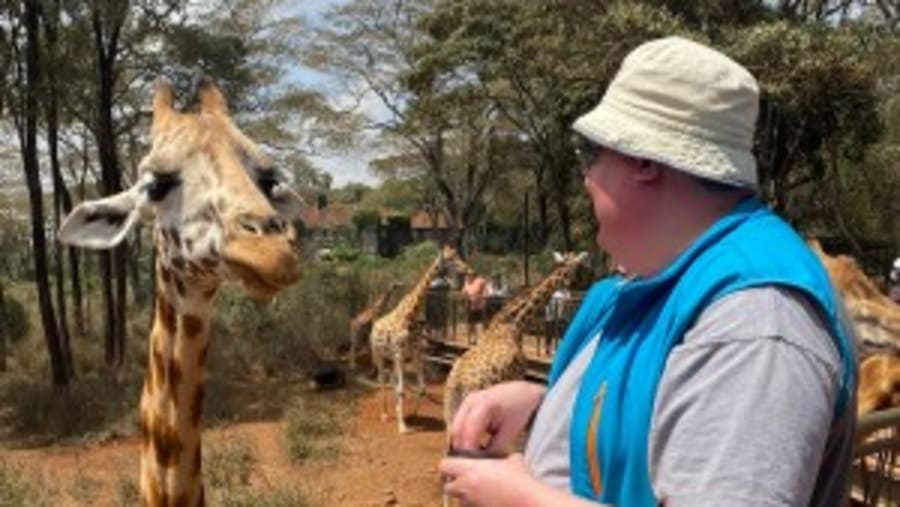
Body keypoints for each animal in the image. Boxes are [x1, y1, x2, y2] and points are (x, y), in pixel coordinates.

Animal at [370, 245, 466, 433]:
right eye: (449, 259)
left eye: (457, 254)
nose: (467, 269)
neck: (411, 315)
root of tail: (374, 325)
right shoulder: (400, 353)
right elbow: (401, 389)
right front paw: (402, 427)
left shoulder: (416, 353)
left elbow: (421, 389)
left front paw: (411, 415)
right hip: (379, 356)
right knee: (382, 381)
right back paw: (385, 414)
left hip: (393, 358)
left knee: (392, 380)